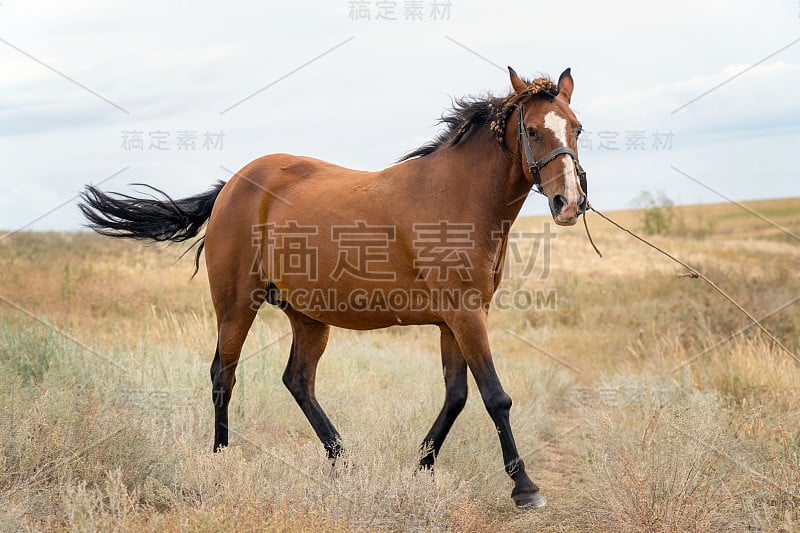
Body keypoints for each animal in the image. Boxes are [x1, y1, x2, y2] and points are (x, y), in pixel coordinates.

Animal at [79, 66, 588, 508]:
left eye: (577, 129)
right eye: (533, 131)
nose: (569, 203)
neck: (457, 197)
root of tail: (232, 186)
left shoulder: (454, 321)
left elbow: (457, 397)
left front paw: (419, 467)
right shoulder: (465, 316)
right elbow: (495, 397)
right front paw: (525, 488)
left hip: (307, 317)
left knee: (297, 381)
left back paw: (344, 462)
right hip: (236, 307)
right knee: (223, 375)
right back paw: (221, 459)